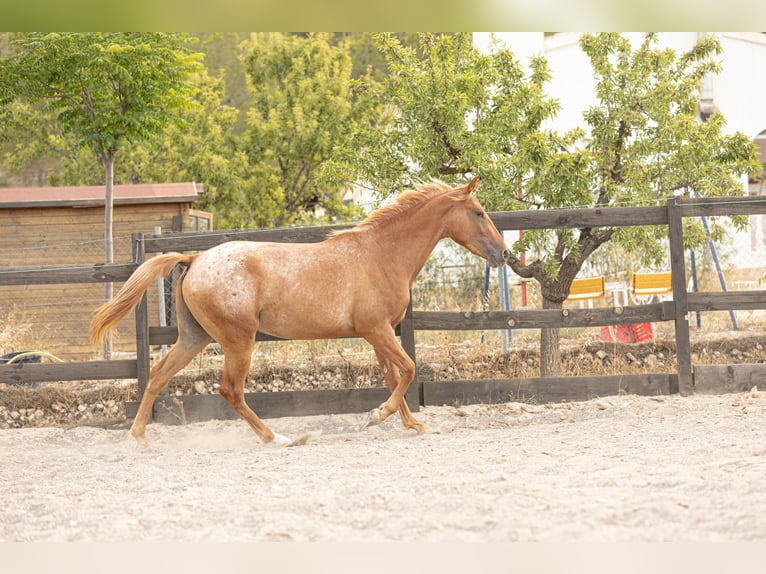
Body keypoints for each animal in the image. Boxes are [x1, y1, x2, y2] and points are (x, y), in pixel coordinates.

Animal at [90, 176, 509, 448]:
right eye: (478, 212)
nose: (505, 254)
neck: (380, 255)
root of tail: (195, 260)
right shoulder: (376, 329)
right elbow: (407, 369)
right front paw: (377, 415)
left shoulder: (380, 333)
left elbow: (394, 375)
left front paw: (412, 424)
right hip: (238, 340)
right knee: (230, 390)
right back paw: (279, 438)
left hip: (195, 337)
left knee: (158, 376)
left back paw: (140, 438)